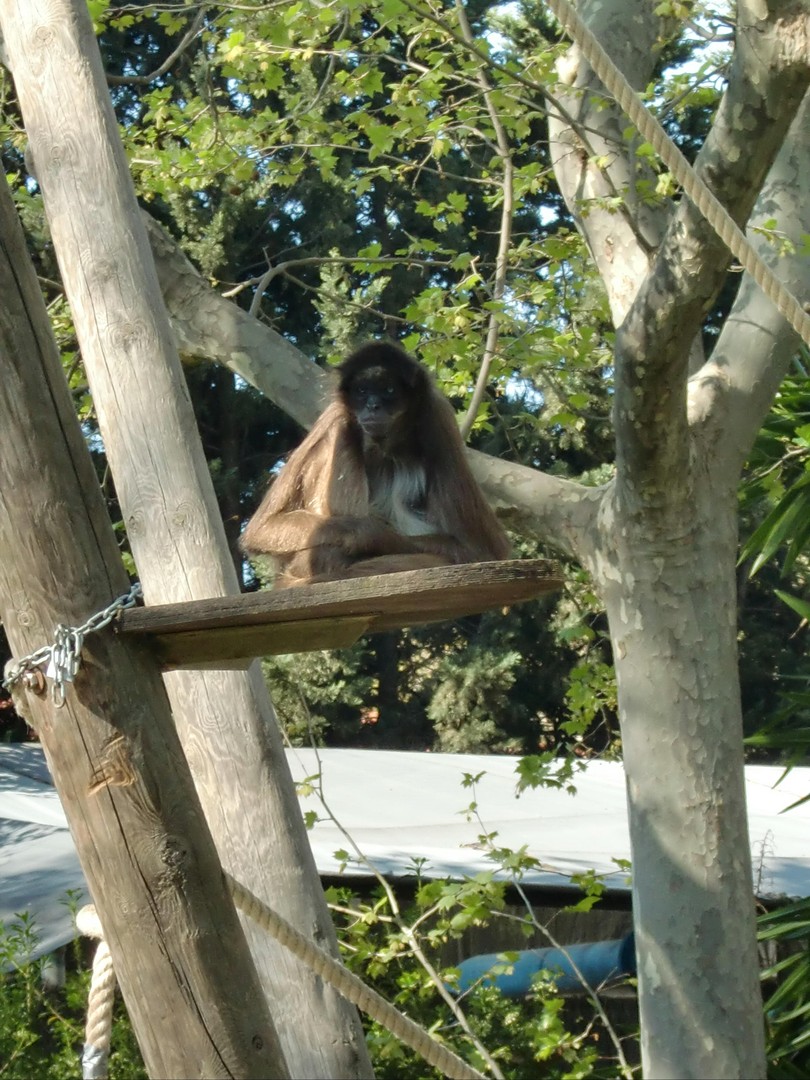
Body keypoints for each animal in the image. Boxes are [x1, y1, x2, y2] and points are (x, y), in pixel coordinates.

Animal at [237, 341, 514, 587]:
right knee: (342, 433)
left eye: (388, 390)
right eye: (362, 391)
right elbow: (263, 529)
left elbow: (484, 551)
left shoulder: (437, 418)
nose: (373, 405)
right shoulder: (335, 413)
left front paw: (374, 537)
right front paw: (364, 532)